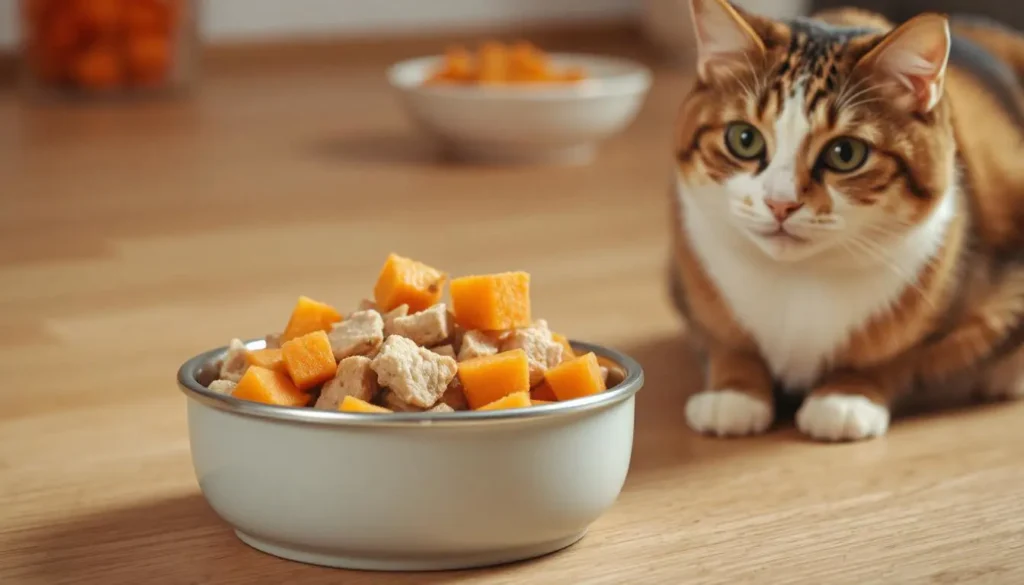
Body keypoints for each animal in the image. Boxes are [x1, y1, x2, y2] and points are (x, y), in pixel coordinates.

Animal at [667, 0, 1024, 442]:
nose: (780, 203)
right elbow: (724, 341)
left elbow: (902, 353)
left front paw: (847, 393)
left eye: (845, 153)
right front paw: (734, 391)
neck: (798, 279)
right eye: (744, 139)